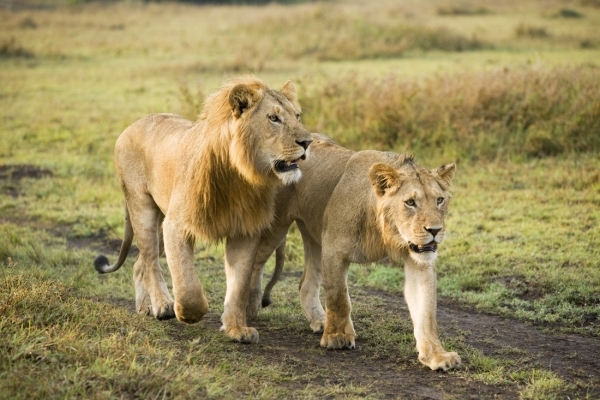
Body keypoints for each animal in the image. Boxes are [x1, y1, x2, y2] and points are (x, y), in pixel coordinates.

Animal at [92, 76, 314, 344]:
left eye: (298, 116)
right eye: (273, 118)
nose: (308, 142)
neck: (239, 176)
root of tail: (133, 124)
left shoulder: (244, 230)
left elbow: (239, 285)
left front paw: (237, 328)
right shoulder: (177, 225)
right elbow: (187, 285)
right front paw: (189, 314)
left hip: (160, 217)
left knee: (141, 262)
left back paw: (145, 306)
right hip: (142, 208)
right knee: (151, 260)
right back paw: (163, 305)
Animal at [248, 135, 460, 372]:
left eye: (439, 200)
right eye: (410, 202)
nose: (435, 230)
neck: (384, 232)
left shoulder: (419, 262)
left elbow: (426, 312)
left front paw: (436, 355)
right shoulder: (334, 249)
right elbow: (339, 297)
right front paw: (338, 337)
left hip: (316, 238)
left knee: (306, 284)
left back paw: (320, 320)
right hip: (277, 228)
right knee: (255, 264)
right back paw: (248, 310)